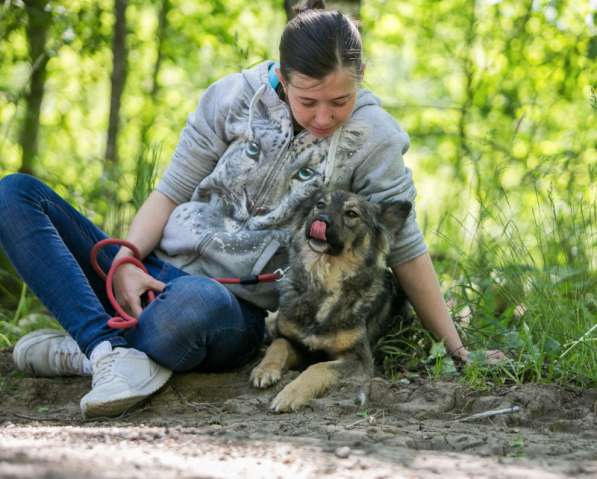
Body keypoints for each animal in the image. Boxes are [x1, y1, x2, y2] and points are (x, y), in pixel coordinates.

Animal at [249, 191, 412, 412]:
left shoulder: (359, 360)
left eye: (351, 213)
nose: (321, 220)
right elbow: (279, 344)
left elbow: (317, 368)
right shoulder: (297, 343)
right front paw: (264, 370)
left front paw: (289, 395)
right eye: (320, 205)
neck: (325, 279)